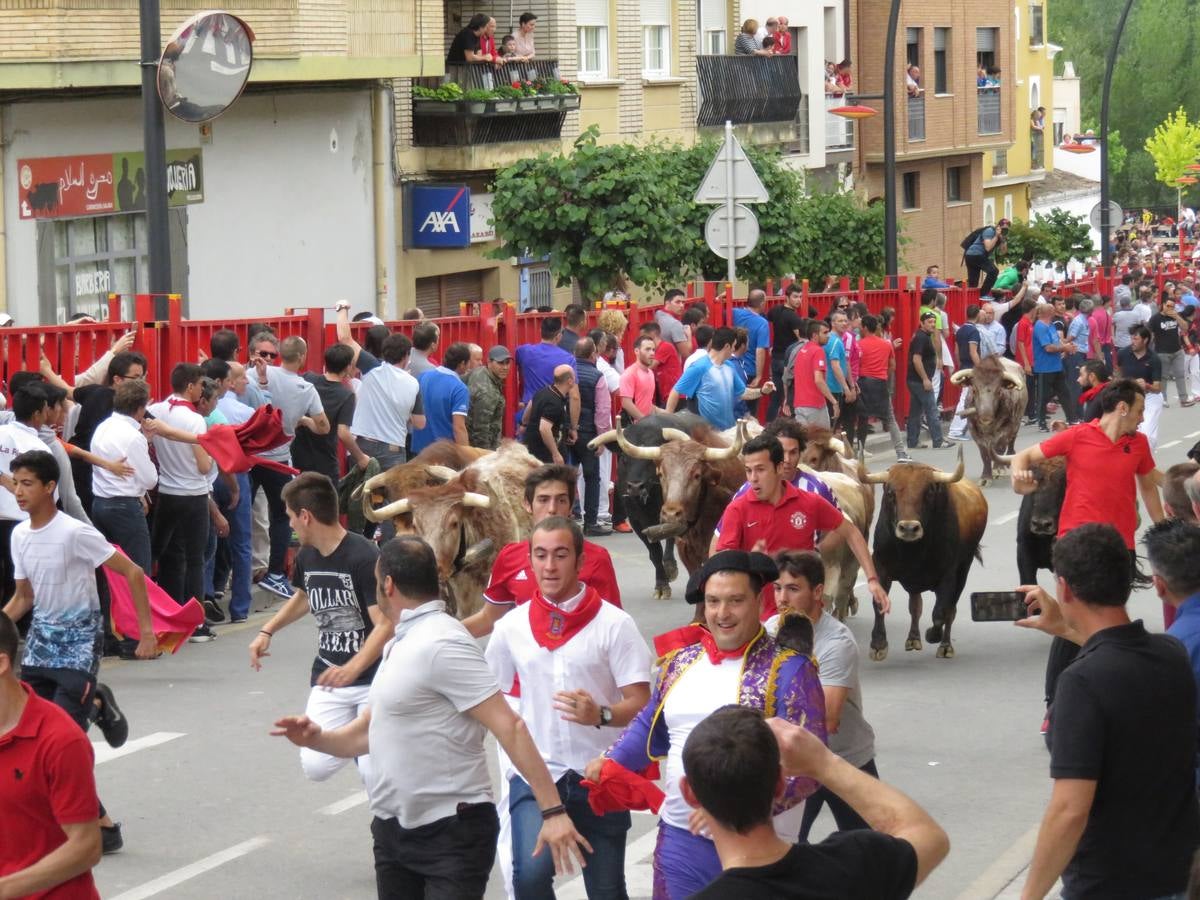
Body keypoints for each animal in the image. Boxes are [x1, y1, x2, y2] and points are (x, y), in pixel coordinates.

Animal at [864, 448, 984, 662]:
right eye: (890, 492)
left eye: (928, 492)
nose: (908, 528)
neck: (912, 551)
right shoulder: (881, 567)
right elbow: (880, 603)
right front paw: (878, 644)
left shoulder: (948, 575)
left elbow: (940, 613)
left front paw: (933, 635)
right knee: (915, 606)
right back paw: (913, 639)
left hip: (964, 569)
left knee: (950, 610)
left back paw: (945, 646)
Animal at [950, 357, 1027, 489]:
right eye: (974, 389)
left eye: (999, 391)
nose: (985, 416)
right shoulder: (975, 432)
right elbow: (985, 454)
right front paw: (985, 477)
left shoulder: (1007, 429)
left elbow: (999, 449)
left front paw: (998, 469)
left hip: (1017, 422)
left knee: (1011, 442)